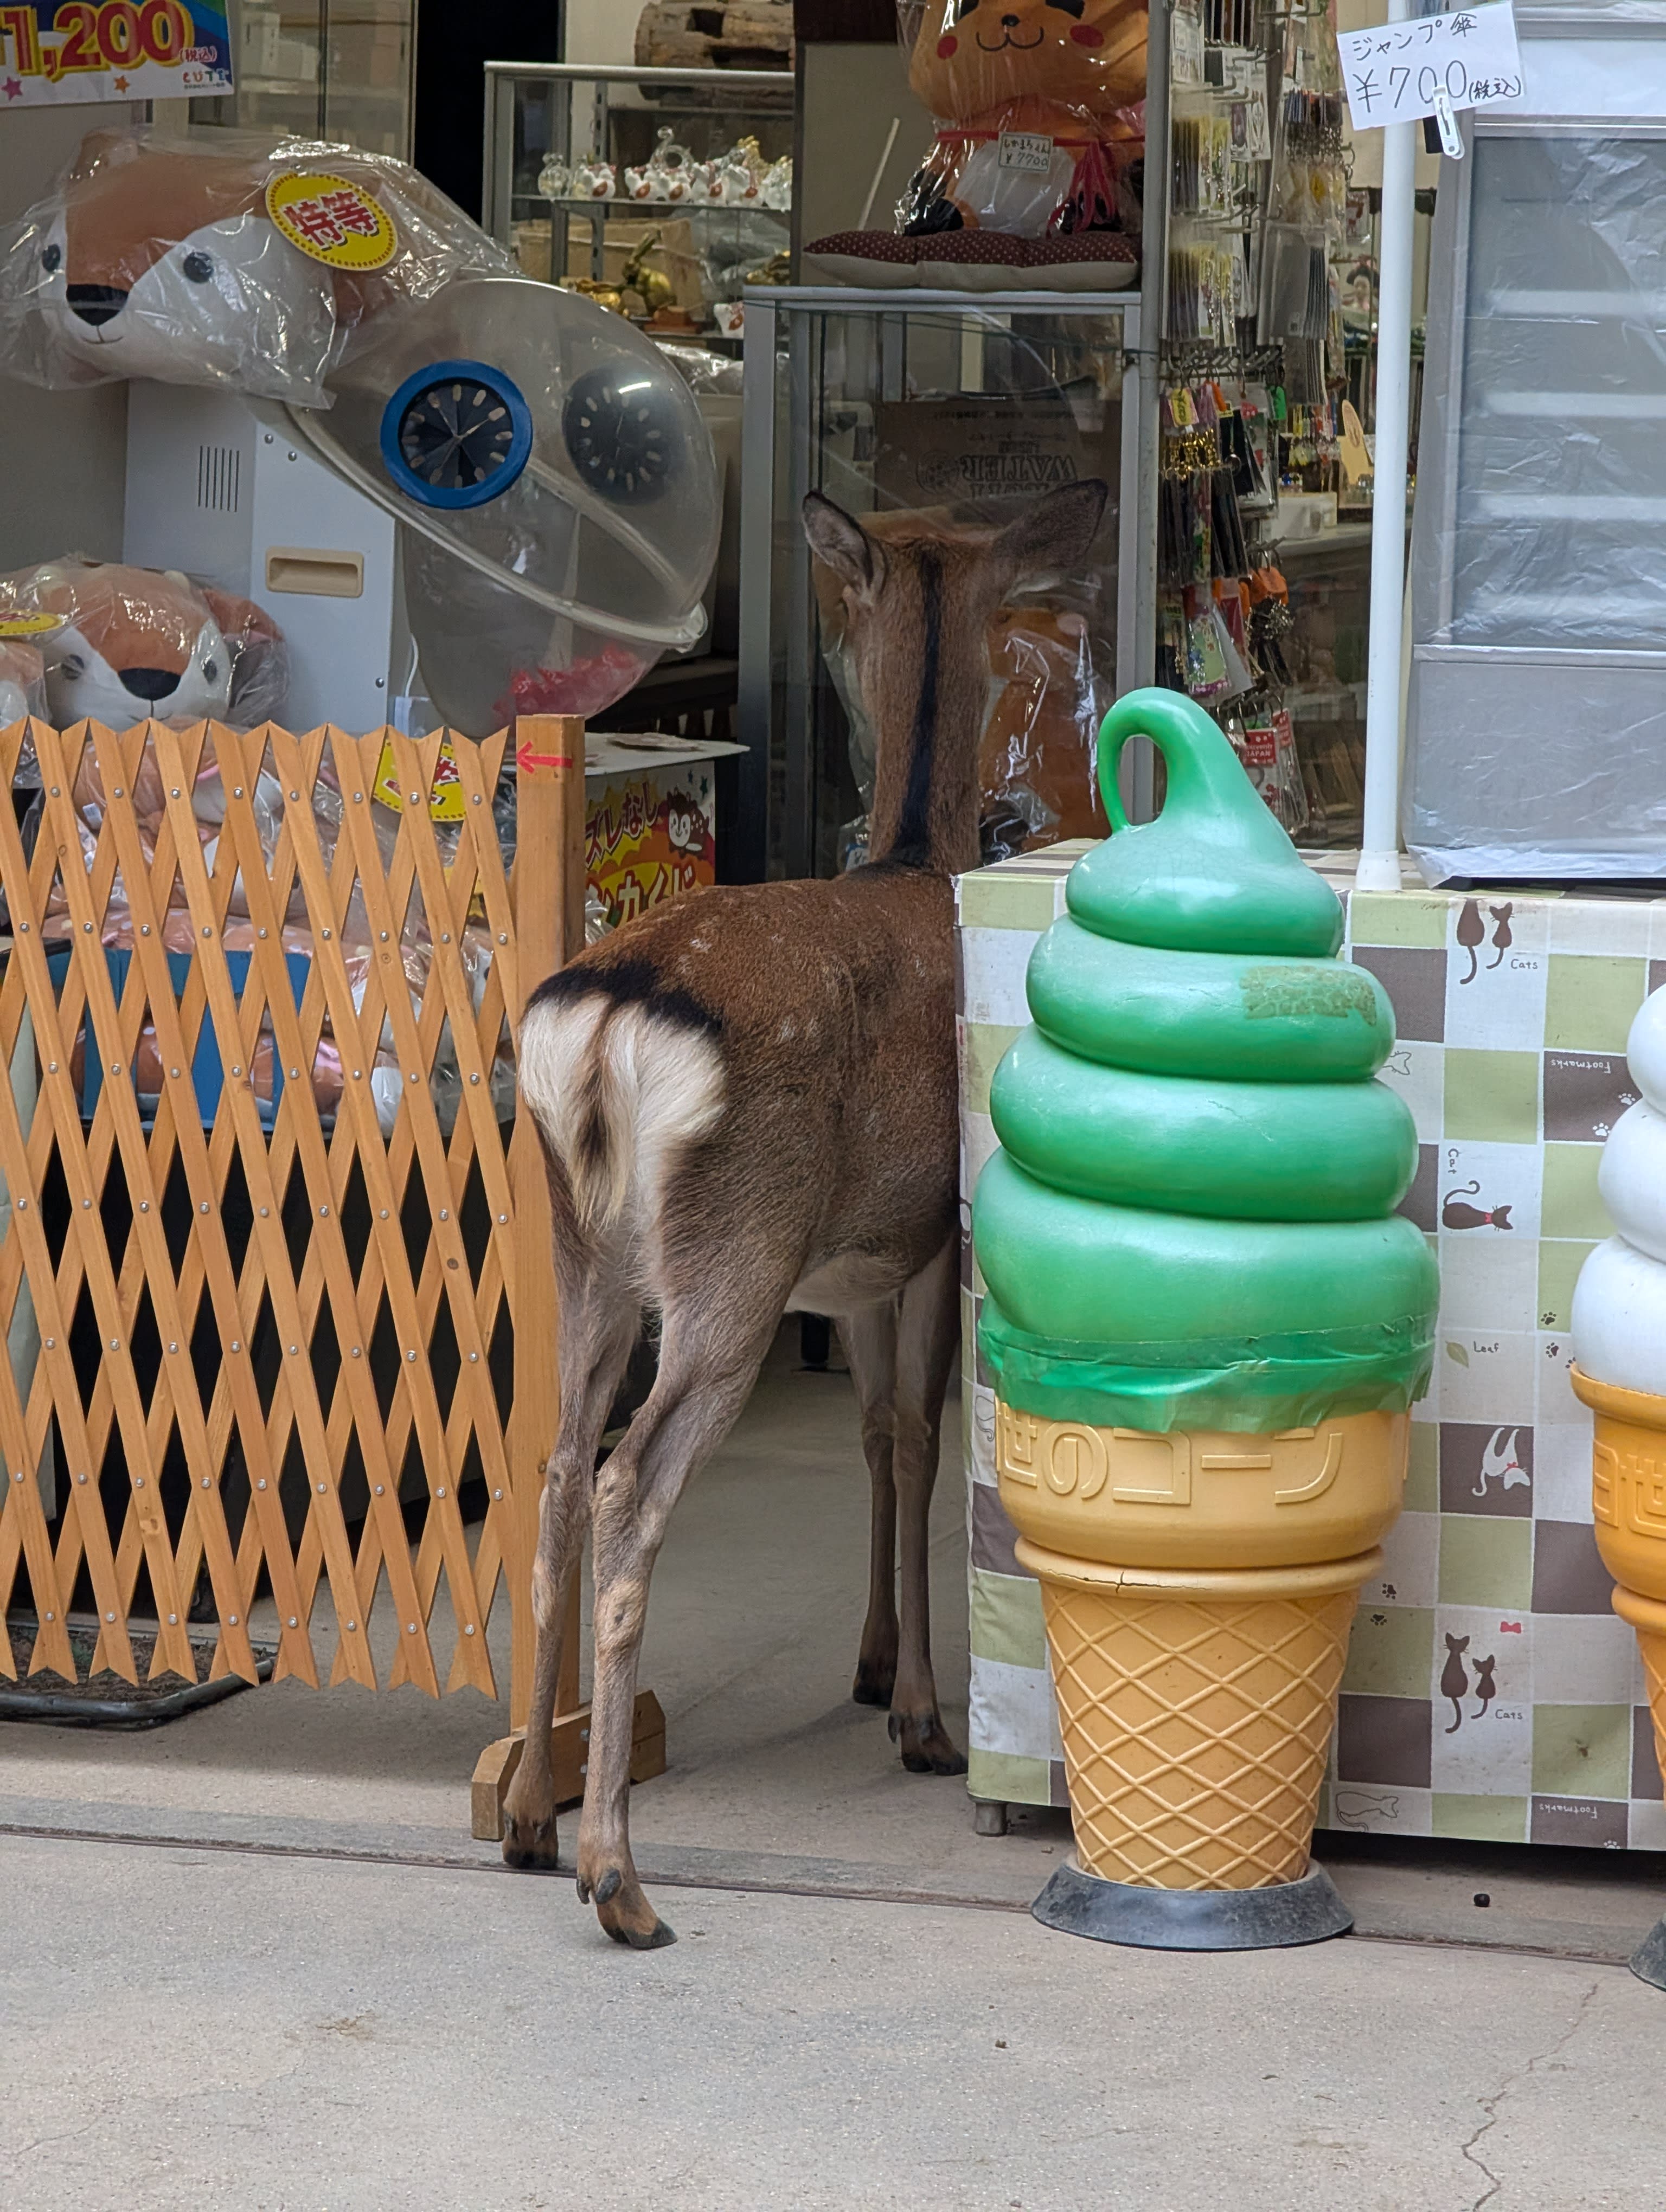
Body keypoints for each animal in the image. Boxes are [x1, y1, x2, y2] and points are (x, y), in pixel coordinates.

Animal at [501, 476, 1109, 1947]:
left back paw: (529, 1811)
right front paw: (921, 1716)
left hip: (586, 1248)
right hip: (734, 1255)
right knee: (627, 1480)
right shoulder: (934, 1233)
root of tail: (601, 1024)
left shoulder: (853, 1272)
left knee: (557, 1465)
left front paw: (875, 1666)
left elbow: (874, 1436)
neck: (916, 863)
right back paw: (619, 1876)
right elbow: (916, 1438)